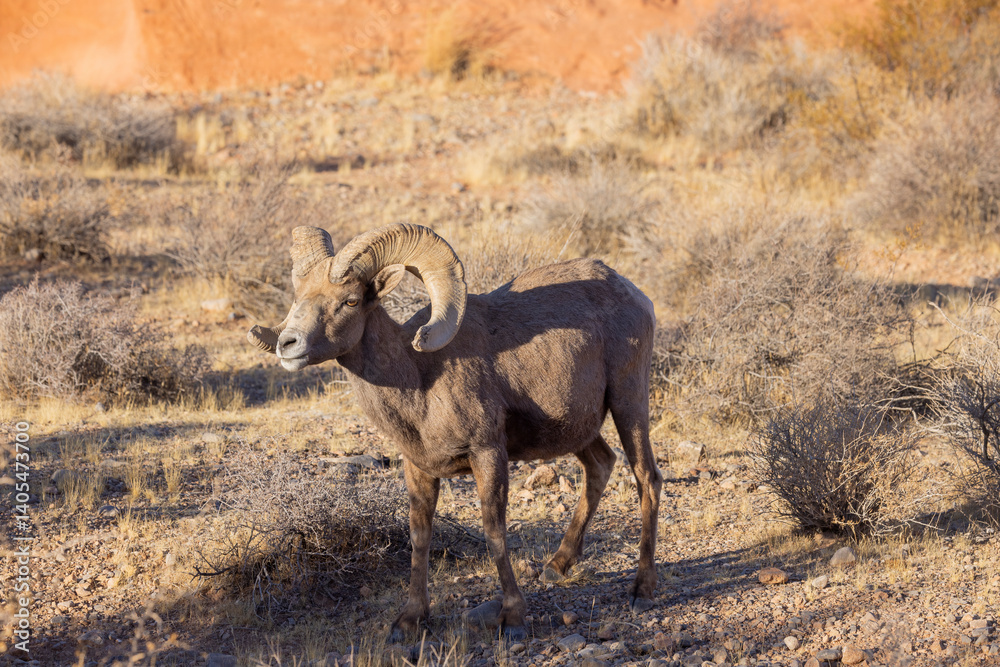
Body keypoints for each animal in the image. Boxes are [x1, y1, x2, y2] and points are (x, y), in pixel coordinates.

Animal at [247, 223, 662, 640]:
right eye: (299, 297)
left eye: (350, 301)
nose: (288, 345)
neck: (420, 379)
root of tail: (633, 293)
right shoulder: (418, 469)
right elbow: (420, 537)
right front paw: (410, 620)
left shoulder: (488, 455)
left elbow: (494, 531)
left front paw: (513, 617)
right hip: (579, 430)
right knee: (600, 465)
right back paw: (557, 566)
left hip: (628, 401)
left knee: (647, 477)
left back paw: (642, 589)